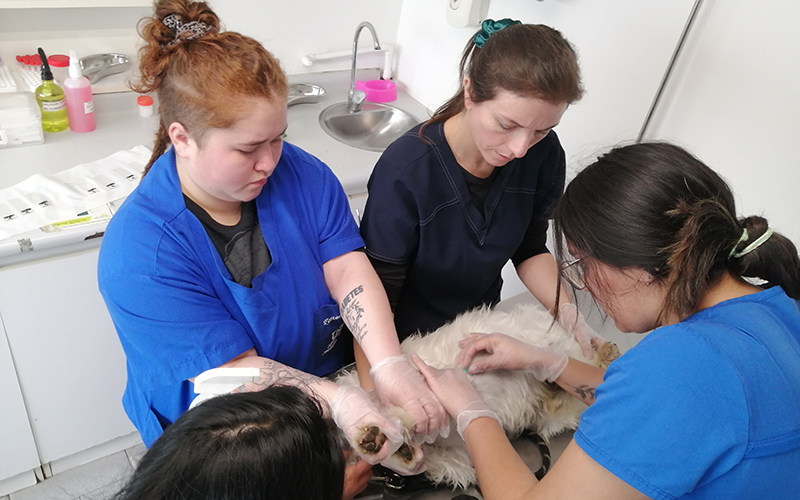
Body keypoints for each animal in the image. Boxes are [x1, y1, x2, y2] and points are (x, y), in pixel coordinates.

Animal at [338, 300, 620, 488]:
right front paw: (401, 450)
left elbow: (408, 410)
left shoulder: (419, 386)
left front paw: (382, 434)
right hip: (554, 413)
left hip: (552, 347)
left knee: (583, 362)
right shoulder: (458, 457)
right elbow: (441, 463)